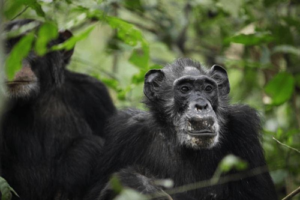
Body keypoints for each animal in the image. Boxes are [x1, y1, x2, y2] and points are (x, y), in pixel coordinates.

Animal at [85, 58, 278, 200]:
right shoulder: (125, 130)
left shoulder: (244, 127)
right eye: (185, 89)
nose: (201, 104)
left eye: (208, 88)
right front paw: (140, 184)